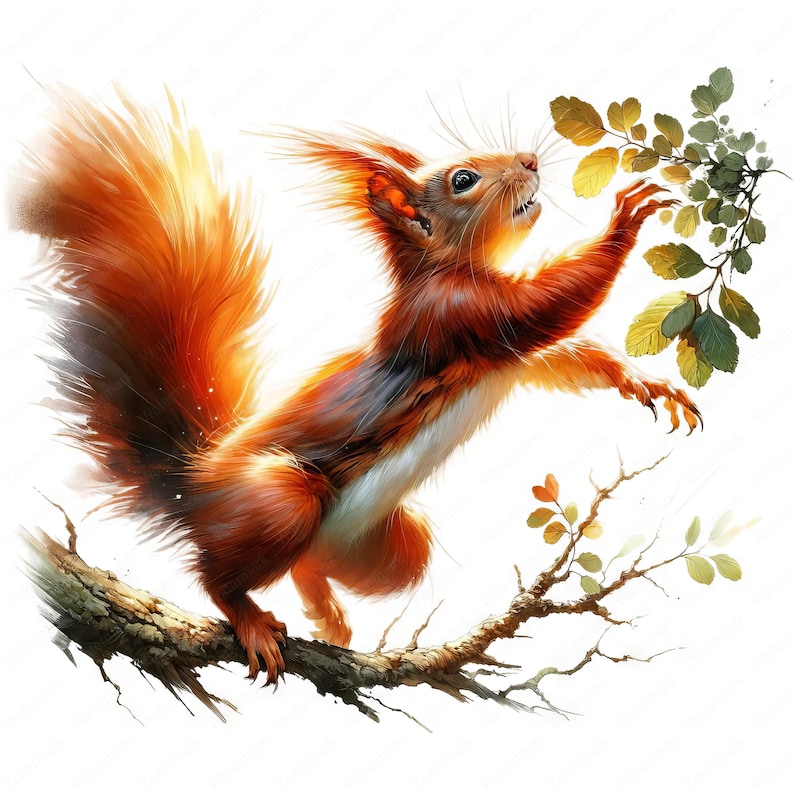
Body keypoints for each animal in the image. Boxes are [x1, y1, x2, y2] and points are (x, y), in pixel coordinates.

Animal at [10, 86, 701, 683]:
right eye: (463, 180)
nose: (531, 161)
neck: (445, 265)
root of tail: (194, 485)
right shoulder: (454, 314)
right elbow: (546, 306)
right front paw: (624, 223)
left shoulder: (508, 356)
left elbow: (564, 356)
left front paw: (645, 381)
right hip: (279, 501)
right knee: (218, 573)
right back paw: (249, 619)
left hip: (390, 547)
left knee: (324, 563)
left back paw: (325, 608)